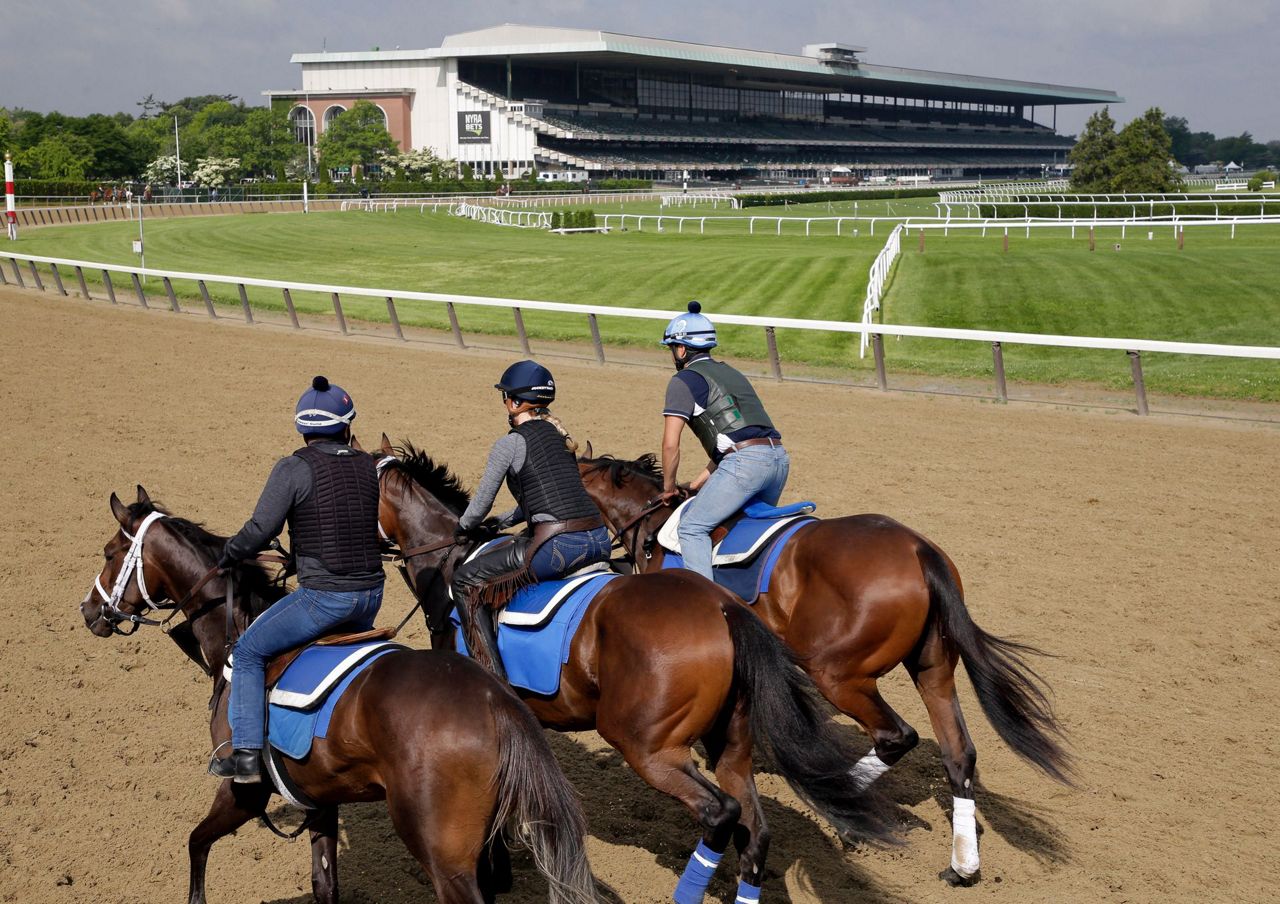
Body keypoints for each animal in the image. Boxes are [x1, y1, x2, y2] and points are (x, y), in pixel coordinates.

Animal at [80, 486, 599, 901]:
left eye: (108, 553)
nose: (87, 610)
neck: (237, 631)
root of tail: (494, 702)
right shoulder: (319, 797)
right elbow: (324, 883)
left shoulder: (243, 791)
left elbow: (196, 843)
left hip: (445, 860)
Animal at [373, 440, 896, 896]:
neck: (448, 567)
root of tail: (721, 606)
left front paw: (495, 872)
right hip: (729, 745)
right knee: (755, 831)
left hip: (647, 747)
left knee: (720, 814)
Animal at [578, 448, 1070, 886]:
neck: (654, 522)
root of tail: (918, 549)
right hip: (933, 671)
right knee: (958, 753)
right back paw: (961, 866)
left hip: (837, 674)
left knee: (896, 736)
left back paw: (844, 812)